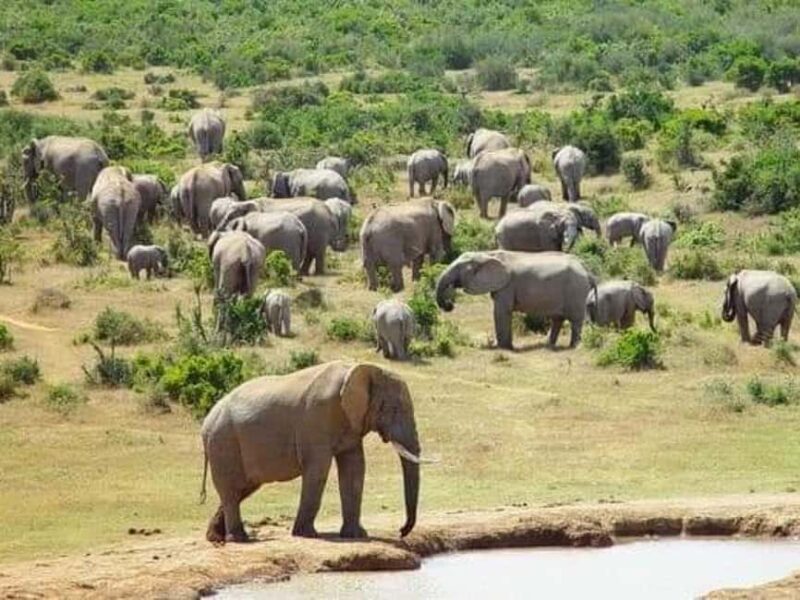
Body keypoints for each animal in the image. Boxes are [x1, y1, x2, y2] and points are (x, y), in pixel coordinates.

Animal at [200, 361, 422, 543]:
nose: (401, 531)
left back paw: (215, 537)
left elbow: (355, 468)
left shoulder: (350, 424)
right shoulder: (317, 416)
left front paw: (356, 535)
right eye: (393, 409)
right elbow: (319, 469)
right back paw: (238, 539)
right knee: (231, 490)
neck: (362, 367)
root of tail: (206, 421)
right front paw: (306, 534)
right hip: (223, 442)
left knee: (243, 488)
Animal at [436, 250, 595, 350]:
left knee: (576, 320)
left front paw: (501, 347)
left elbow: (500, 312)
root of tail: (586, 269)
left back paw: (574, 346)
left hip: (576, 290)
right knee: (558, 319)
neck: (487, 254)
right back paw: (547, 345)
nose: (449, 304)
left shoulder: (507, 286)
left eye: (458, 267)